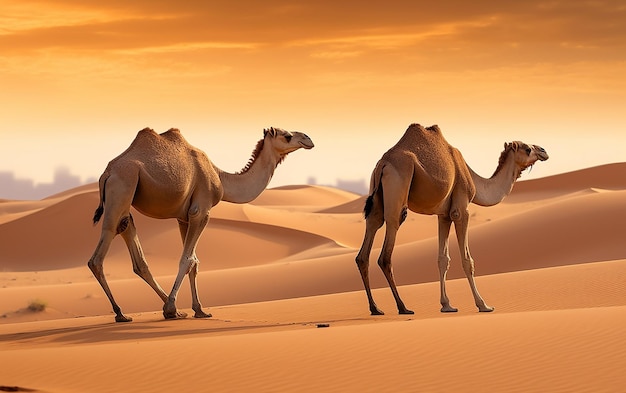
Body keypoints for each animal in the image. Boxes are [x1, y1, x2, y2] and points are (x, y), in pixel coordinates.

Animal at [87, 127, 312, 320]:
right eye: (287, 136)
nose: (308, 139)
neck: (220, 178)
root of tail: (106, 173)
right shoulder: (201, 211)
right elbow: (187, 259)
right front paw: (172, 308)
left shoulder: (183, 217)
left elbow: (194, 262)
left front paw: (198, 310)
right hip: (122, 187)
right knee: (98, 256)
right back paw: (123, 313)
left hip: (126, 198)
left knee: (134, 248)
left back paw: (171, 310)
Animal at [356, 124, 544, 314]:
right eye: (528, 149)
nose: (544, 151)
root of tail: (383, 164)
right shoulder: (460, 210)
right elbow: (467, 260)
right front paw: (483, 305)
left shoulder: (444, 215)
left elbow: (443, 259)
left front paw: (446, 305)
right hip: (398, 187)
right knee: (387, 249)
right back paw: (403, 307)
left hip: (376, 195)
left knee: (368, 238)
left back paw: (375, 308)